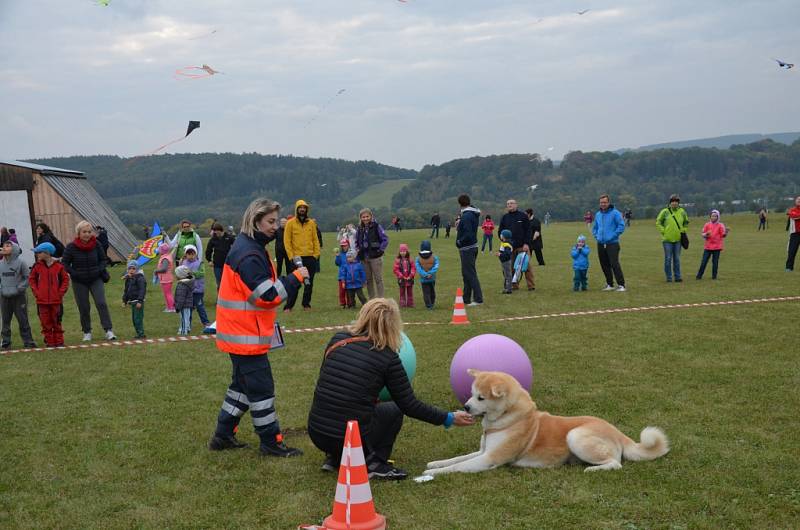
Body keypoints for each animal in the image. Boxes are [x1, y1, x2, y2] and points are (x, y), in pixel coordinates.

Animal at [424, 368, 668, 474]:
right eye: (471, 393)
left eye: (480, 397)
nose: (465, 407)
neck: (509, 417)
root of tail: (618, 433)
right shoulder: (483, 452)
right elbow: (456, 459)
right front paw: (435, 464)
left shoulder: (489, 459)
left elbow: (458, 466)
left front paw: (431, 474)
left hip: (575, 436)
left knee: (616, 463)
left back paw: (593, 470)